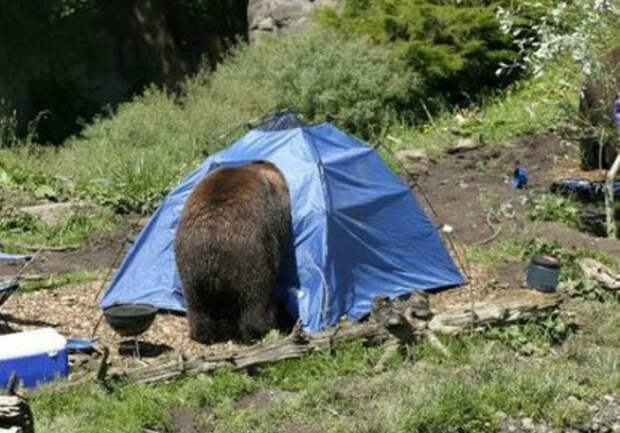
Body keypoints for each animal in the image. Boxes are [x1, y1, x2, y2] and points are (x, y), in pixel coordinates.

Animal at [173, 160, 292, 342]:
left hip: (190, 264)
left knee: (197, 303)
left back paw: (202, 332)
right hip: (251, 257)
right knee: (256, 298)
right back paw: (260, 330)